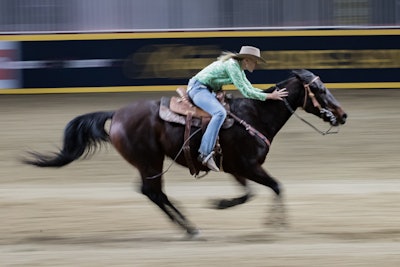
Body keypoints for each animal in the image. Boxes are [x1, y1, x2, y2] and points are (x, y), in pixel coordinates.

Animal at [22, 69, 346, 237]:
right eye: (320, 89)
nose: (342, 115)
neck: (255, 114)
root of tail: (117, 114)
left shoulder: (236, 168)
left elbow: (251, 193)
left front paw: (226, 204)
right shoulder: (248, 165)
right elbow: (275, 186)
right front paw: (273, 222)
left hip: (148, 162)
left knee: (151, 192)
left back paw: (188, 225)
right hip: (149, 161)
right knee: (153, 192)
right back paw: (190, 227)